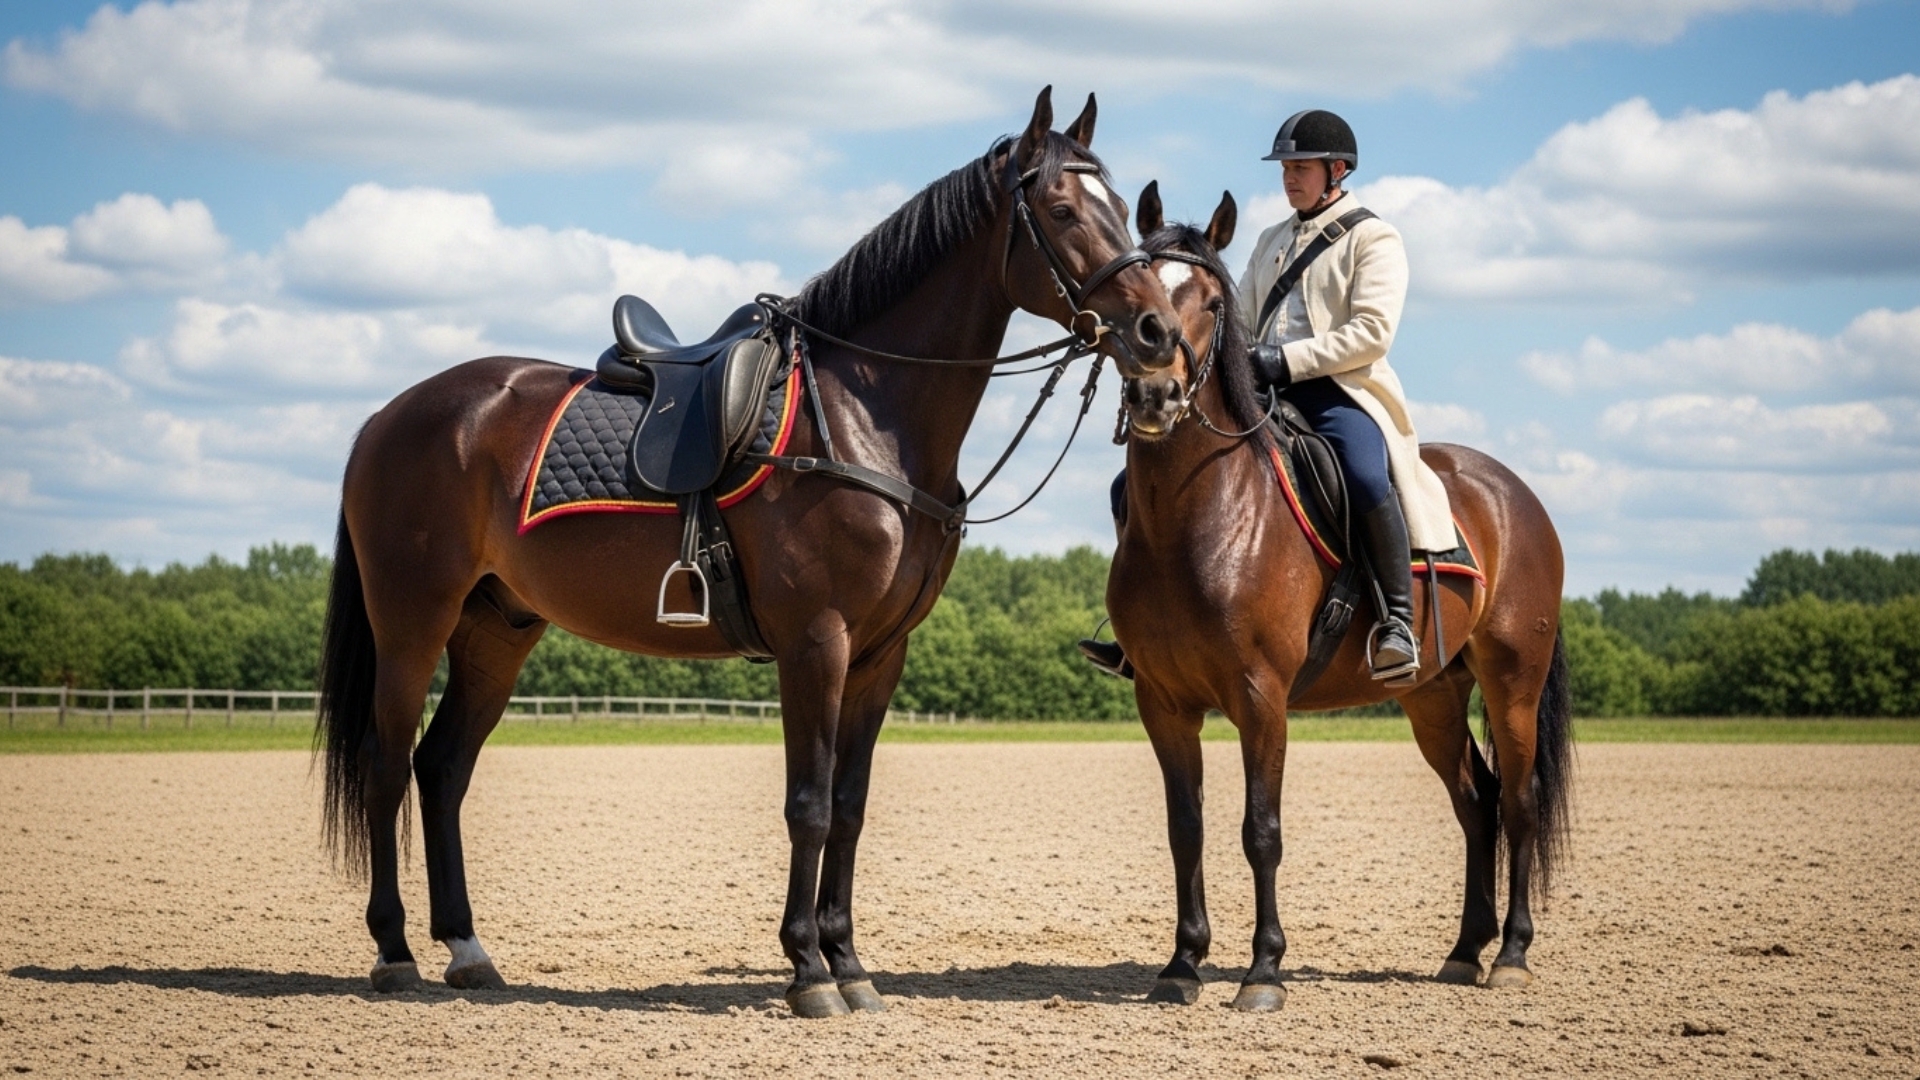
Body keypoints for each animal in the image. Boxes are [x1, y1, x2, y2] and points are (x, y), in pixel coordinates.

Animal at [314, 87, 1182, 1018]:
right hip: (412, 620)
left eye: (1120, 205)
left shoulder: (881, 653)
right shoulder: (816, 640)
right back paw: (395, 952)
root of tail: (391, 416)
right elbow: (808, 804)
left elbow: (850, 807)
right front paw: (808, 971)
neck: (863, 416)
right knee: (387, 765)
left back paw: (468, 951)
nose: (1158, 331)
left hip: (497, 630)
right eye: (1061, 210)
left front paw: (850, 963)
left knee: (442, 769)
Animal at [1104, 185, 1573, 1012]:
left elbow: (1260, 829)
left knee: (1517, 801)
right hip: (1433, 695)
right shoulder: (1162, 700)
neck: (1195, 514)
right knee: (1476, 803)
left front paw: (1262, 971)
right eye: (1138, 291)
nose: (1154, 393)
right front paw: (1182, 964)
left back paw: (1511, 953)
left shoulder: (1261, 697)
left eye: (1211, 302)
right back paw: (1464, 951)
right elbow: (1185, 829)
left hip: (1513, 682)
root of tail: (1514, 493)